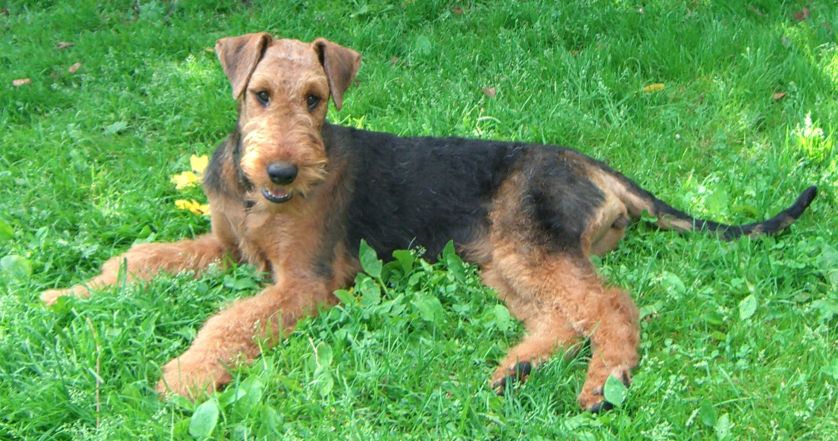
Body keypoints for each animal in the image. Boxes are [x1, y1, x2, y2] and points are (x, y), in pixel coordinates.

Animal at [41, 33, 817, 412]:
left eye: (316, 98)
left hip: (529, 246)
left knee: (612, 306)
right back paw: (517, 368)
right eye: (259, 94)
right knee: (566, 317)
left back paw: (602, 386)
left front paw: (186, 376)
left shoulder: (307, 280)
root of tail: (592, 163)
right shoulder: (229, 248)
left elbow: (231, 320)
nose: (283, 174)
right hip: (502, 257)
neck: (257, 200)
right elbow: (139, 257)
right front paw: (61, 295)